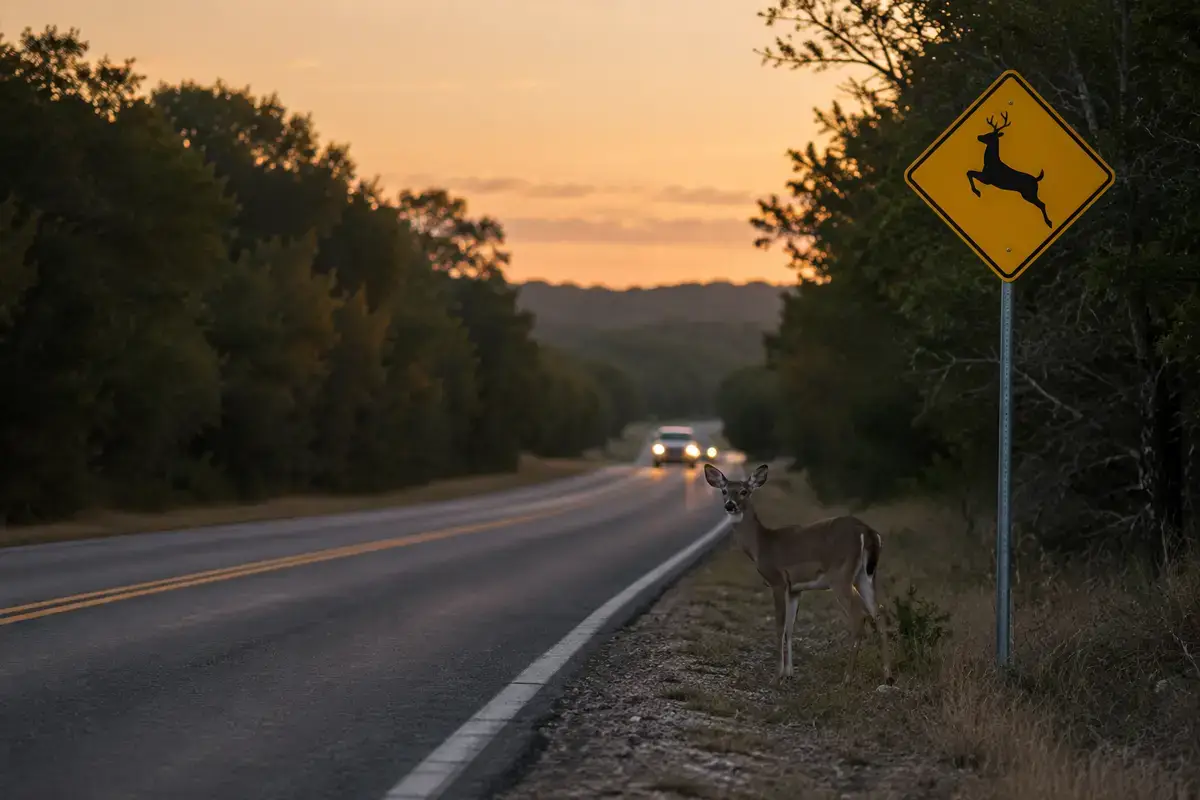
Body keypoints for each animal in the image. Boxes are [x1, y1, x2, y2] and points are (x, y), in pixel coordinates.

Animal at [703, 463, 894, 687]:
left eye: (743, 491)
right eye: (724, 491)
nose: (730, 505)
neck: (761, 545)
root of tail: (868, 532)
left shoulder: (777, 580)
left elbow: (779, 626)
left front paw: (776, 676)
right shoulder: (795, 588)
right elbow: (789, 628)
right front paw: (789, 673)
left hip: (841, 575)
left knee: (859, 615)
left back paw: (846, 679)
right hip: (866, 576)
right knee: (879, 613)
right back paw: (888, 676)